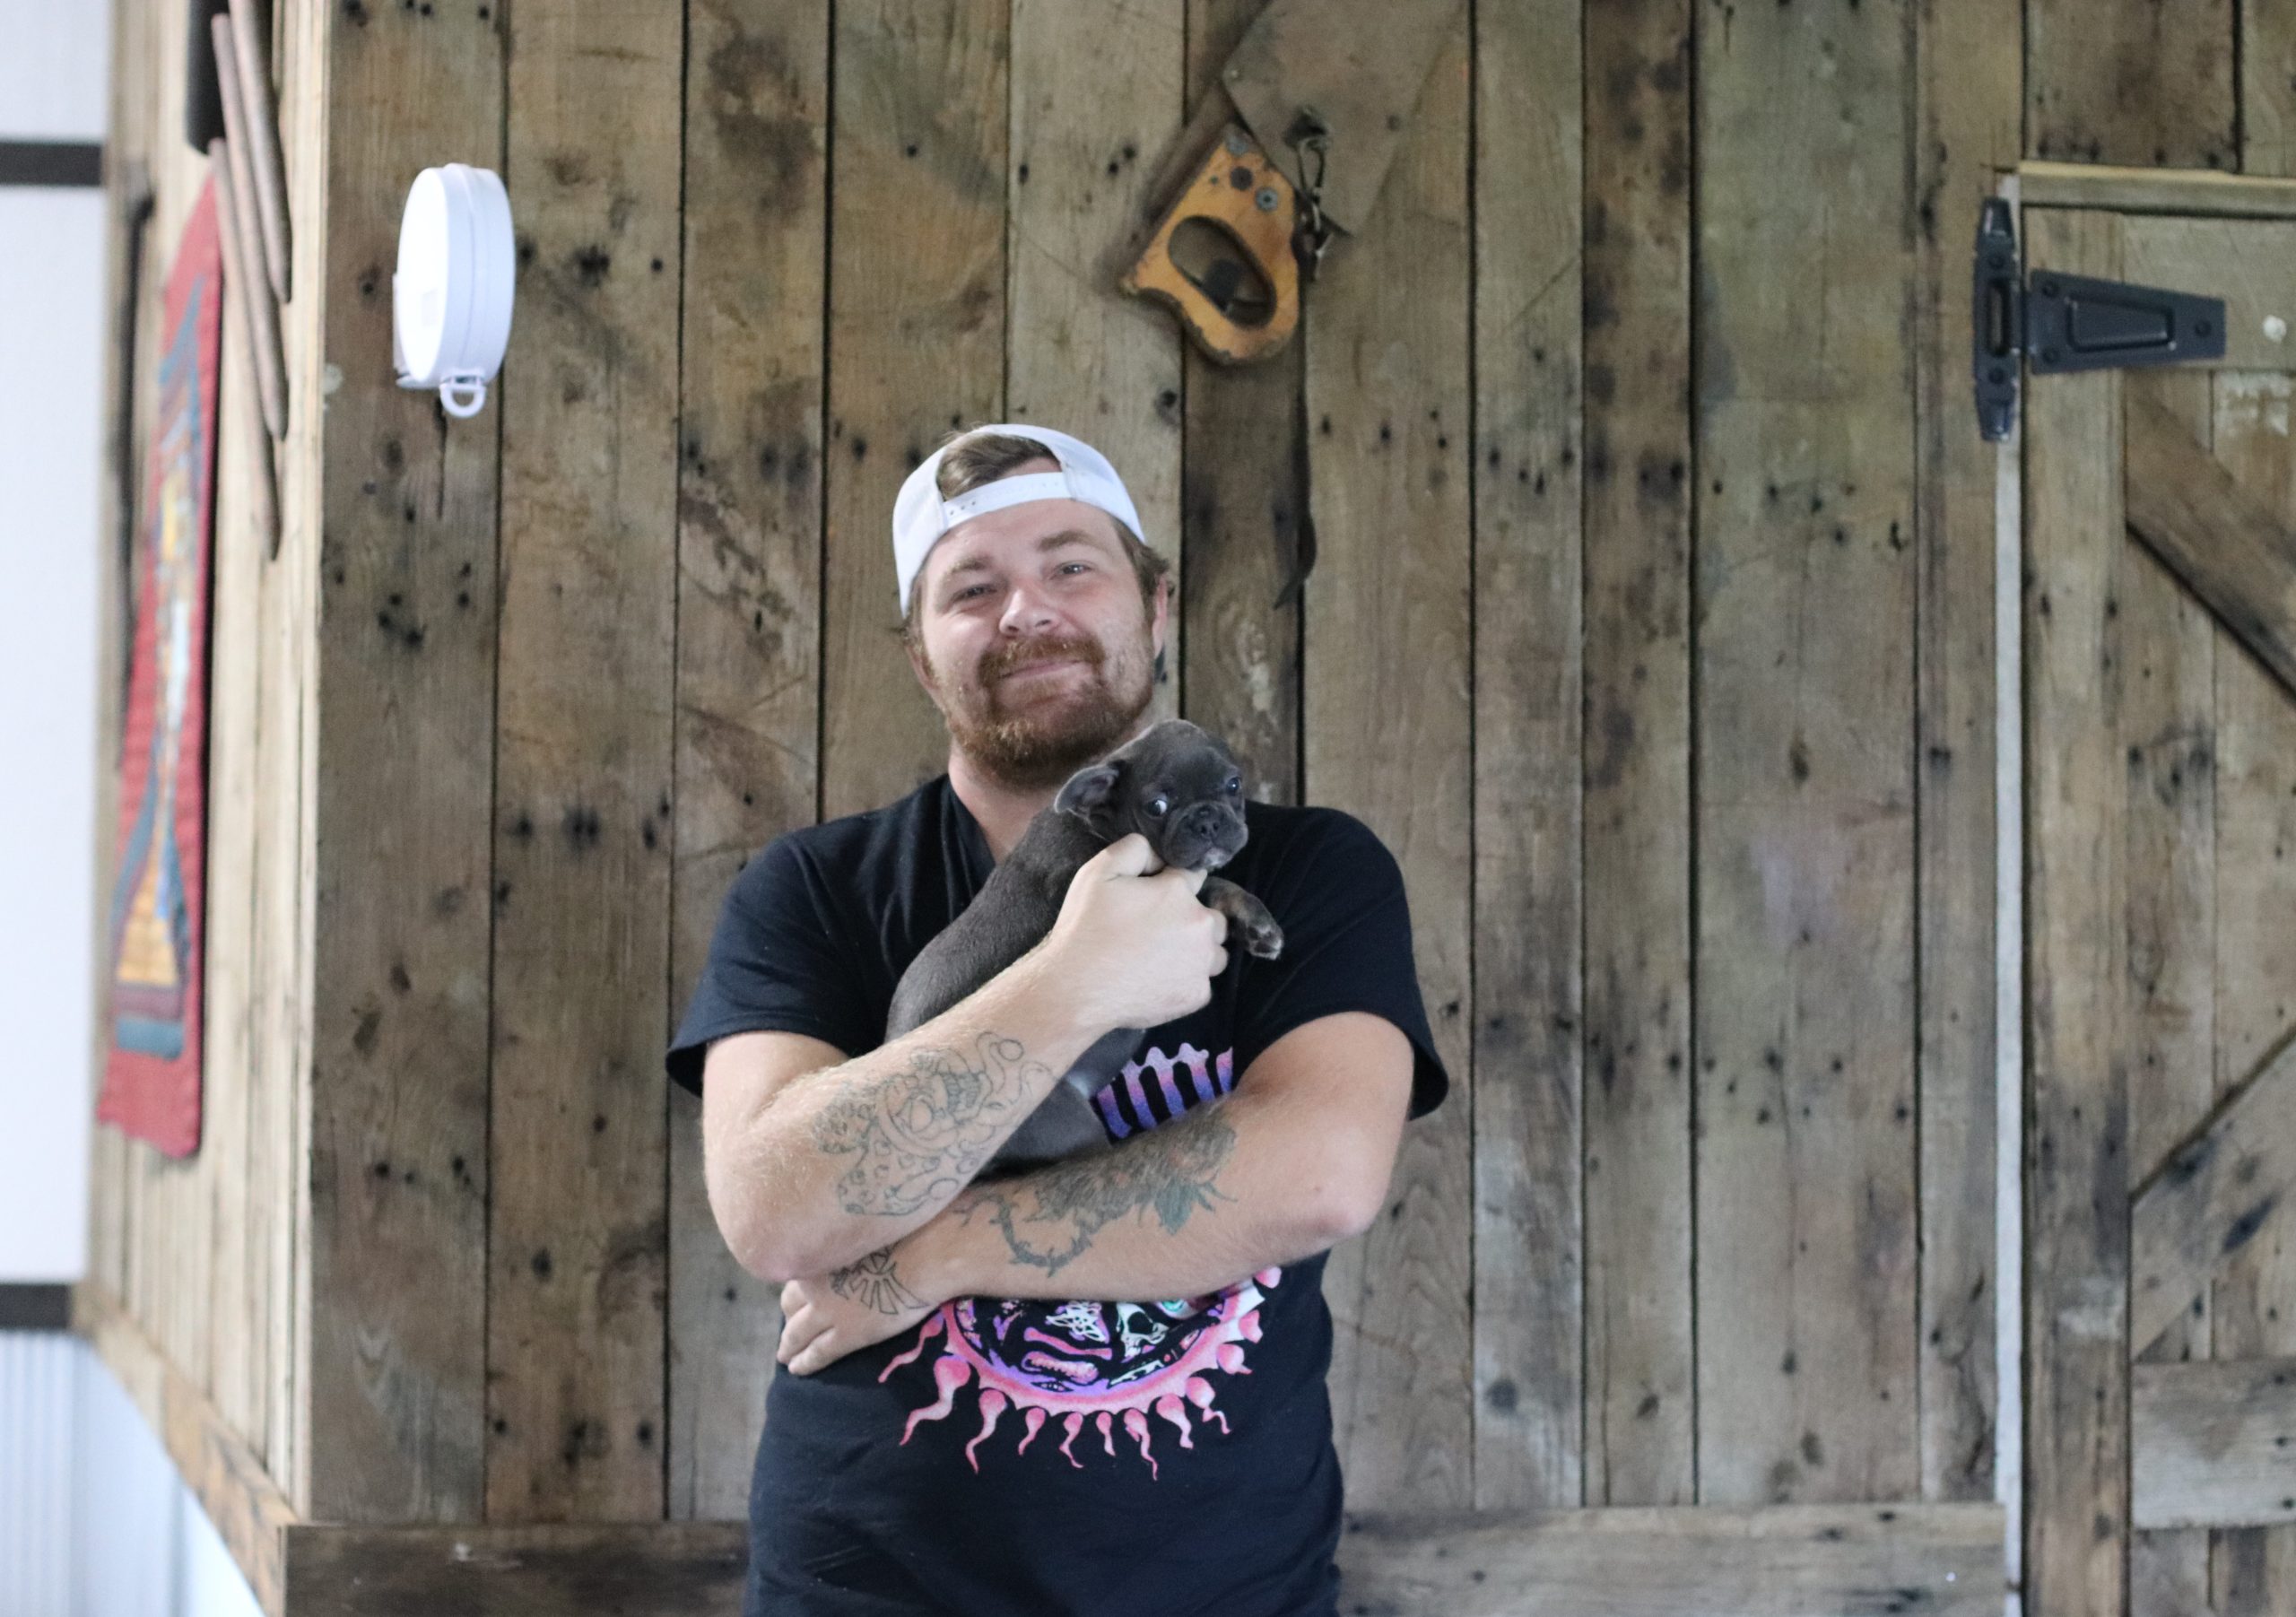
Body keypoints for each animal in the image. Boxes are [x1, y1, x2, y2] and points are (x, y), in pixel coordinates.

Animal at [885, 718, 1284, 1175]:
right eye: (1157, 806)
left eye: (1234, 784)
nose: (1207, 821)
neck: (1099, 822)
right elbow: (1210, 882)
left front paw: (1254, 925)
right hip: (1068, 1125)